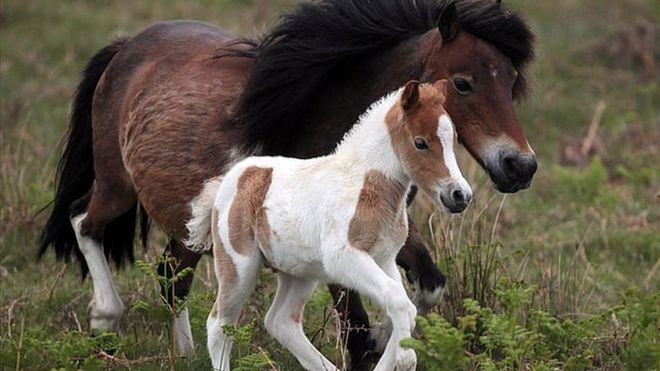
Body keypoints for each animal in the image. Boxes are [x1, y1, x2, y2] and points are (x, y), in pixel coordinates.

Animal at [188, 80, 472, 370]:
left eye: (453, 140)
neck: (365, 186)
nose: (460, 195)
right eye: (420, 143)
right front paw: (403, 358)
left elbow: (406, 308)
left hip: (300, 272)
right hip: (239, 265)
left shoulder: (384, 259)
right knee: (219, 325)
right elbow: (399, 303)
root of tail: (230, 179)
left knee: (281, 321)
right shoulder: (344, 258)